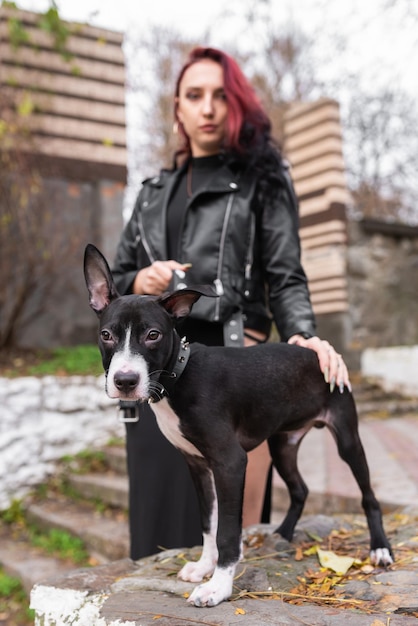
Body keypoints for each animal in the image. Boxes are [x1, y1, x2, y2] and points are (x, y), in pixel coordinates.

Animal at [84, 243, 392, 604]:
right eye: (106, 335)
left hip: (347, 439)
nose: (125, 381)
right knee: (300, 489)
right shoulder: (197, 464)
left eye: (153, 335)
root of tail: (319, 354)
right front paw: (204, 567)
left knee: (369, 496)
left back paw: (380, 549)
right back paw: (283, 533)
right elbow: (208, 524)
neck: (179, 375)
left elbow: (227, 531)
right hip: (283, 446)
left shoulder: (230, 461)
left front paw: (218, 585)